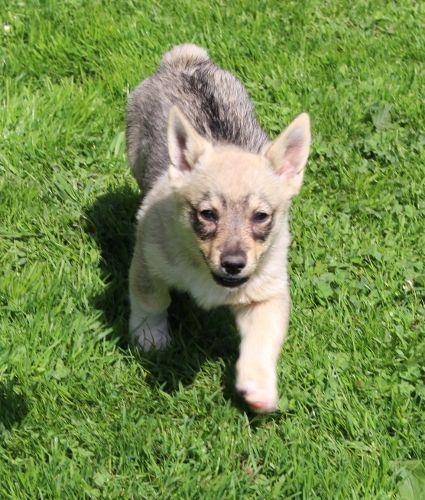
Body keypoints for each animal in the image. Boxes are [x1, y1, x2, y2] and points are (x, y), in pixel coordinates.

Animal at [126, 44, 311, 412]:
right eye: (207, 214)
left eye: (261, 217)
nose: (234, 264)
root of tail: (185, 60)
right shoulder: (147, 263)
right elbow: (151, 301)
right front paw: (150, 336)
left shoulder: (267, 295)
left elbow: (263, 340)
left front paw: (259, 387)